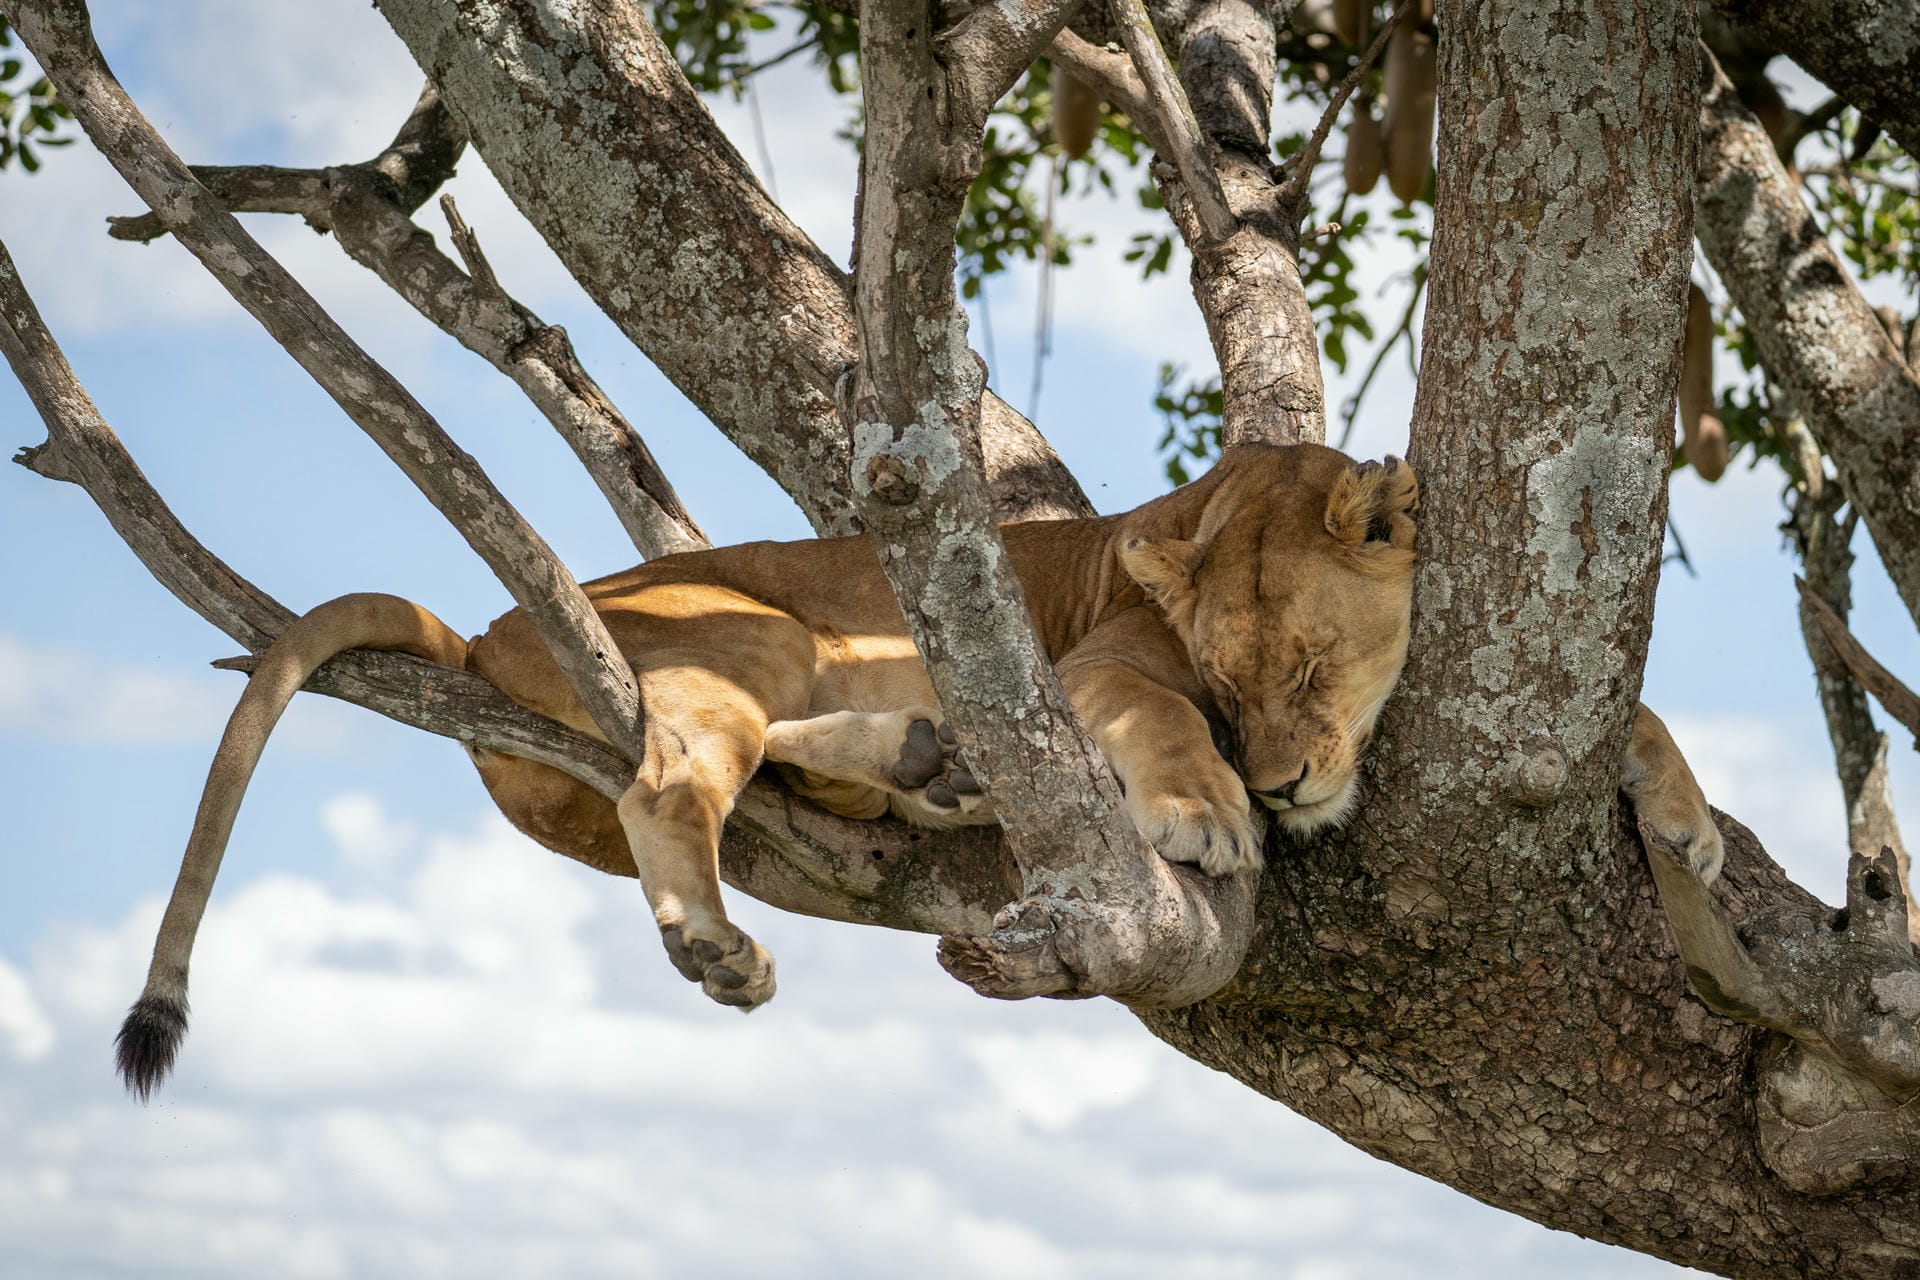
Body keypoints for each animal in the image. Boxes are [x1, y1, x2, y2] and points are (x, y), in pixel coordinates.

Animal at [113, 443, 1721, 1097]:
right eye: (1231, 682)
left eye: (1316, 669)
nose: (1278, 784)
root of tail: (492, 621)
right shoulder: (1103, 669)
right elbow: (1158, 726)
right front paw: (1205, 816)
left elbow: (1636, 716)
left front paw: (1691, 824)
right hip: (748, 629)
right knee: (673, 779)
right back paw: (729, 932)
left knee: (749, 769)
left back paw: (927, 766)